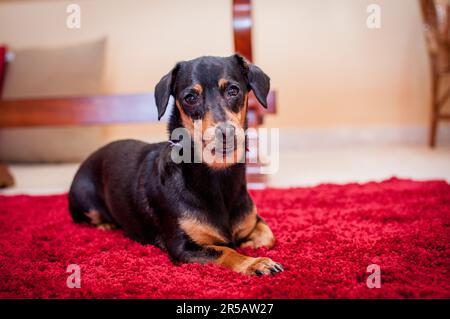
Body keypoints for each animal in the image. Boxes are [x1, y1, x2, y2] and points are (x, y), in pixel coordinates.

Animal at [68, 53, 284, 276]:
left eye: (234, 90)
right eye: (190, 98)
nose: (226, 133)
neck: (217, 176)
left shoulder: (255, 222)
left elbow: (268, 236)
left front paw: (250, 245)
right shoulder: (183, 247)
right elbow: (226, 251)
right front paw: (256, 263)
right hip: (85, 201)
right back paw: (105, 225)